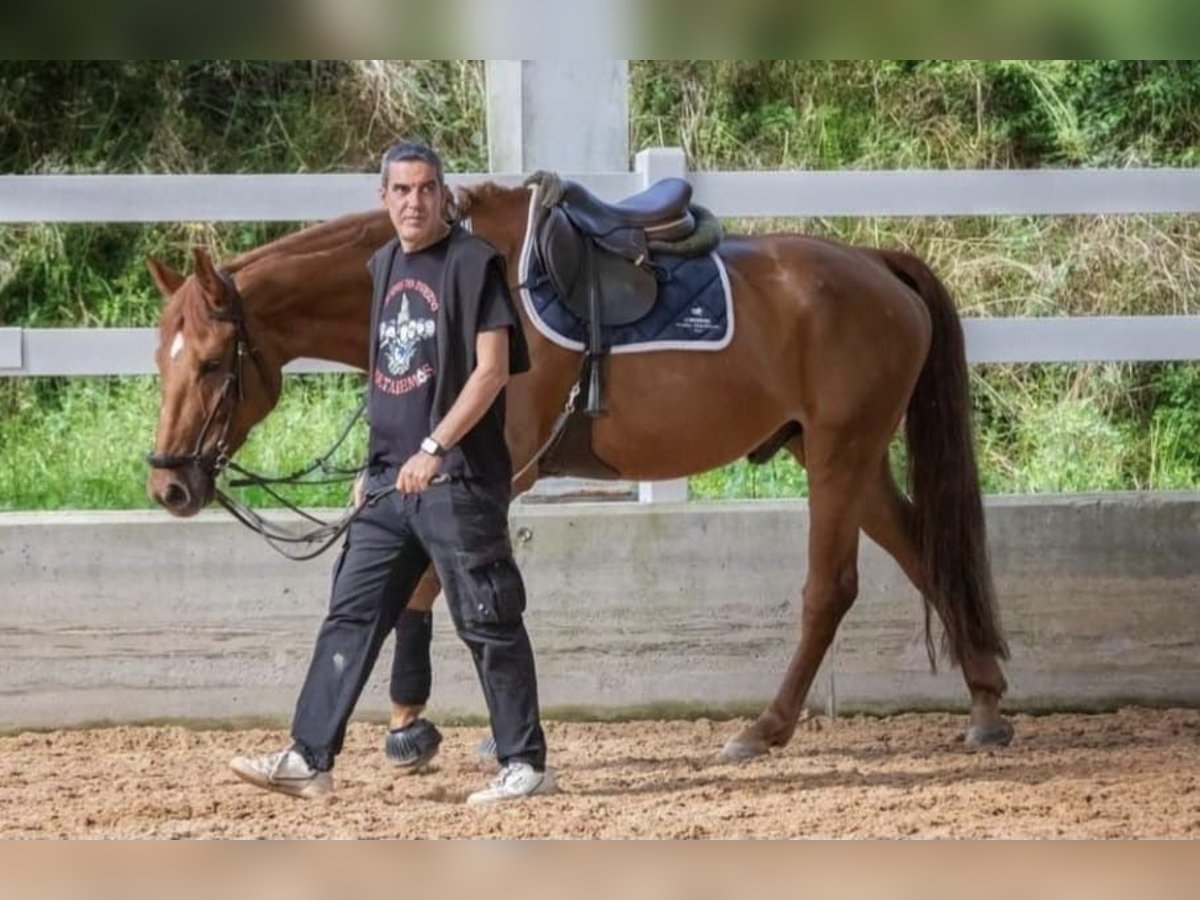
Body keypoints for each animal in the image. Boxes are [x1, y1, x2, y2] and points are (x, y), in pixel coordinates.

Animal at [147, 183, 1012, 763]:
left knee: (831, 589)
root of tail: (877, 266)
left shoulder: (488, 473)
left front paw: (410, 727)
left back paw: (763, 729)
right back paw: (985, 705)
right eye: (161, 359)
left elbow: (426, 589)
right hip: (842, 455)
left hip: (839, 452)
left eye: (216, 362)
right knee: (925, 553)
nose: (169, 486)